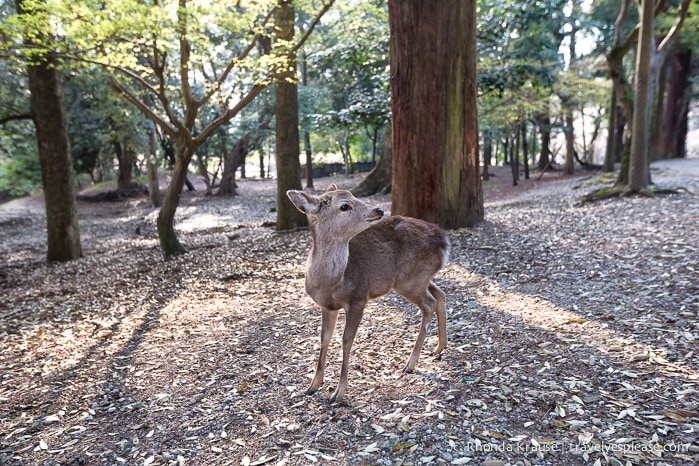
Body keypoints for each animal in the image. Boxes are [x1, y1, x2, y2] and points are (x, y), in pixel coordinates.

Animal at [288, 184, 448, 402]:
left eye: (354, 196)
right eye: (344, 206)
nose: (378, 210)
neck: (331, 284)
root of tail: (445, 241)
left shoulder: (358, 298)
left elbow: (346, 339)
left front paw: (338, 393)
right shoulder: (327, 306)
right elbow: (324, 338)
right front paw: (313, 385)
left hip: (410, 279)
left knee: (429, 304)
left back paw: (410, 364)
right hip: (421, 277)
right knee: (440, 295)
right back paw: (439, 348)